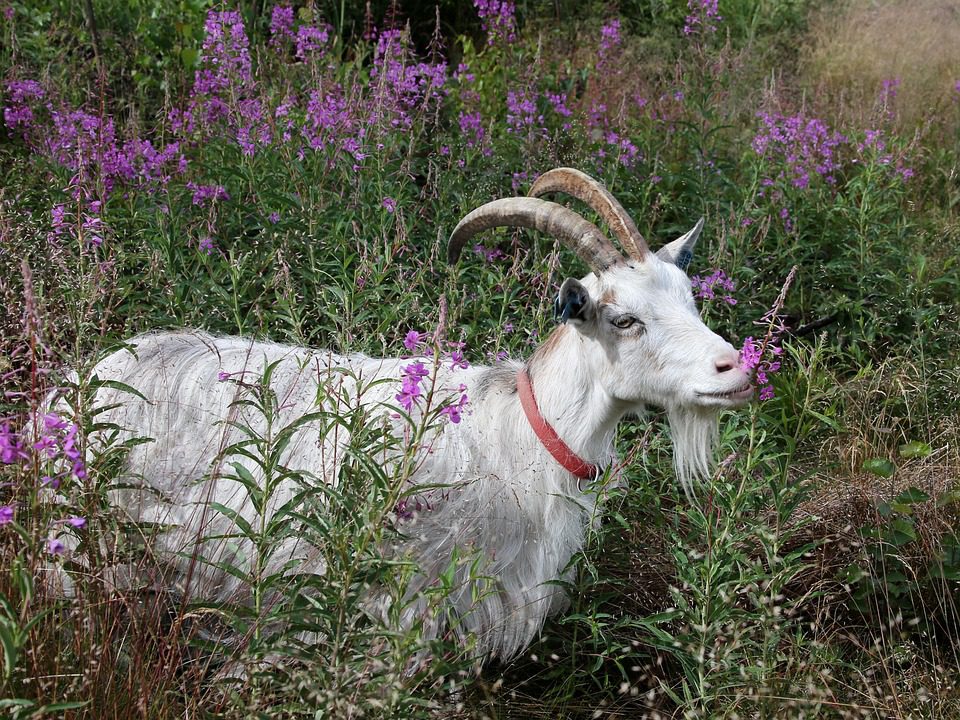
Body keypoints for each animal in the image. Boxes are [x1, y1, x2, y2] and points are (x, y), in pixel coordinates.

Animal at [82, 169, 752, 664]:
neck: (523, 435)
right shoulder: (402, 599)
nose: (735, 368)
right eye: (623, 319)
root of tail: (82, 382)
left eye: (690, 299)